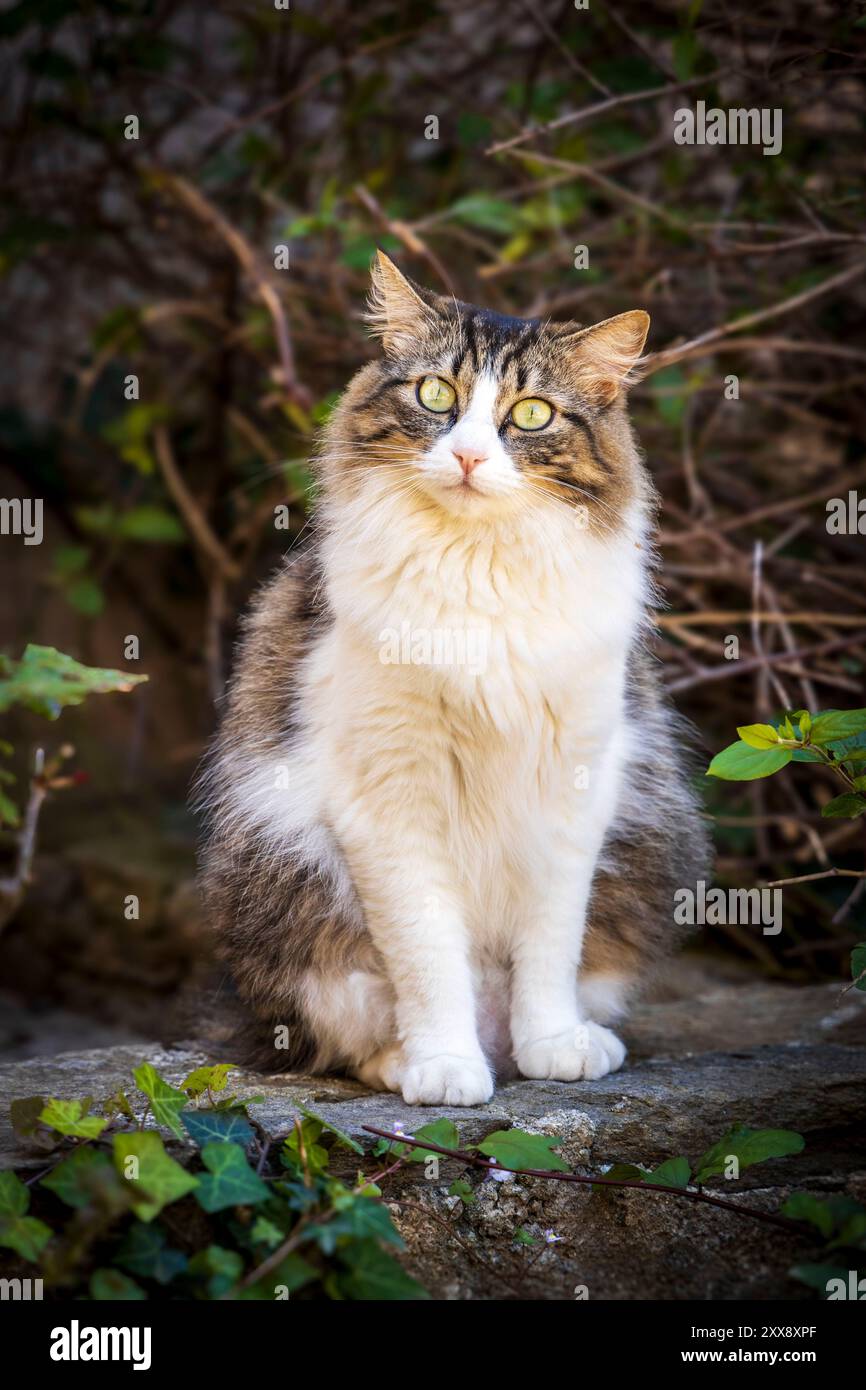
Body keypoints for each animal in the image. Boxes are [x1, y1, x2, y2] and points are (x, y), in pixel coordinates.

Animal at [198, 252, 711, 1106]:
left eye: (531, 414)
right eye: (436, 396)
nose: (469, 457)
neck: (479, 571)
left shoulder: (575, 788)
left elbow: (550, 948)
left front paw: (553, 1046)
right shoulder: (389, 799)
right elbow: (430, 956)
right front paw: (444, 1066)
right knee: (337, 1034)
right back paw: (412, 1062)